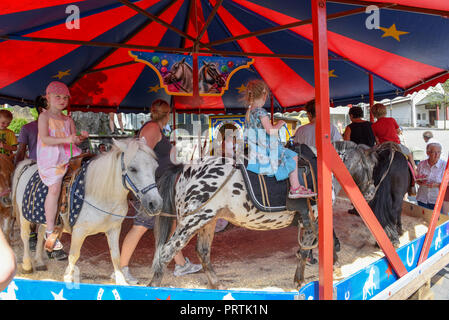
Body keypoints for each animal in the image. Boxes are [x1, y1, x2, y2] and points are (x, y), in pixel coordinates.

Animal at [149, 141, 376, 288]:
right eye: (371, 166)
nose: (372, 192)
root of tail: (185, 169)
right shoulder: (313, 219)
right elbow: (307, 250)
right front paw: (300, 280)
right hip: (191, 221)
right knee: (166, 252)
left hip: (208, 221)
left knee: (203, 252)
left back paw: (217, 285)